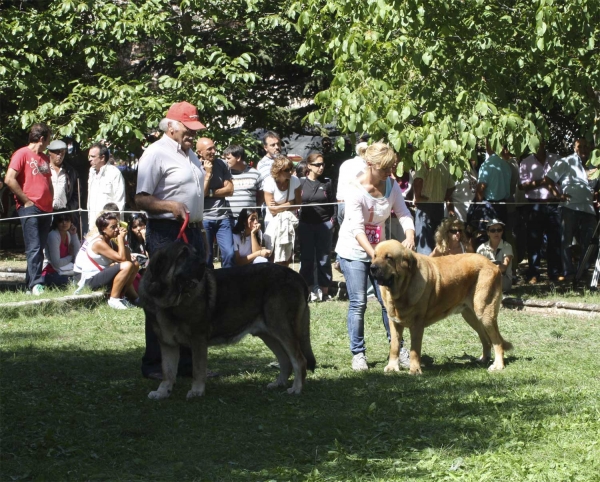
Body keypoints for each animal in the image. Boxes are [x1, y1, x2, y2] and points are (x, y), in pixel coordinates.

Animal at [370, 239, 510, 374]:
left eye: (389, 257)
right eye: (375, 256)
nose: (372, 268)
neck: (403, 289)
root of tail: (493, 265)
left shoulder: (417, 325)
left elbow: (414, 350)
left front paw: (415, 370)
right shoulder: (394, 323)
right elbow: (394, 347)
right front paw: (392, 367)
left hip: (485, 313)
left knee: (497, 341)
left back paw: (498, 365)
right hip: (471, 316)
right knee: (485, 339)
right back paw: (484, 359)